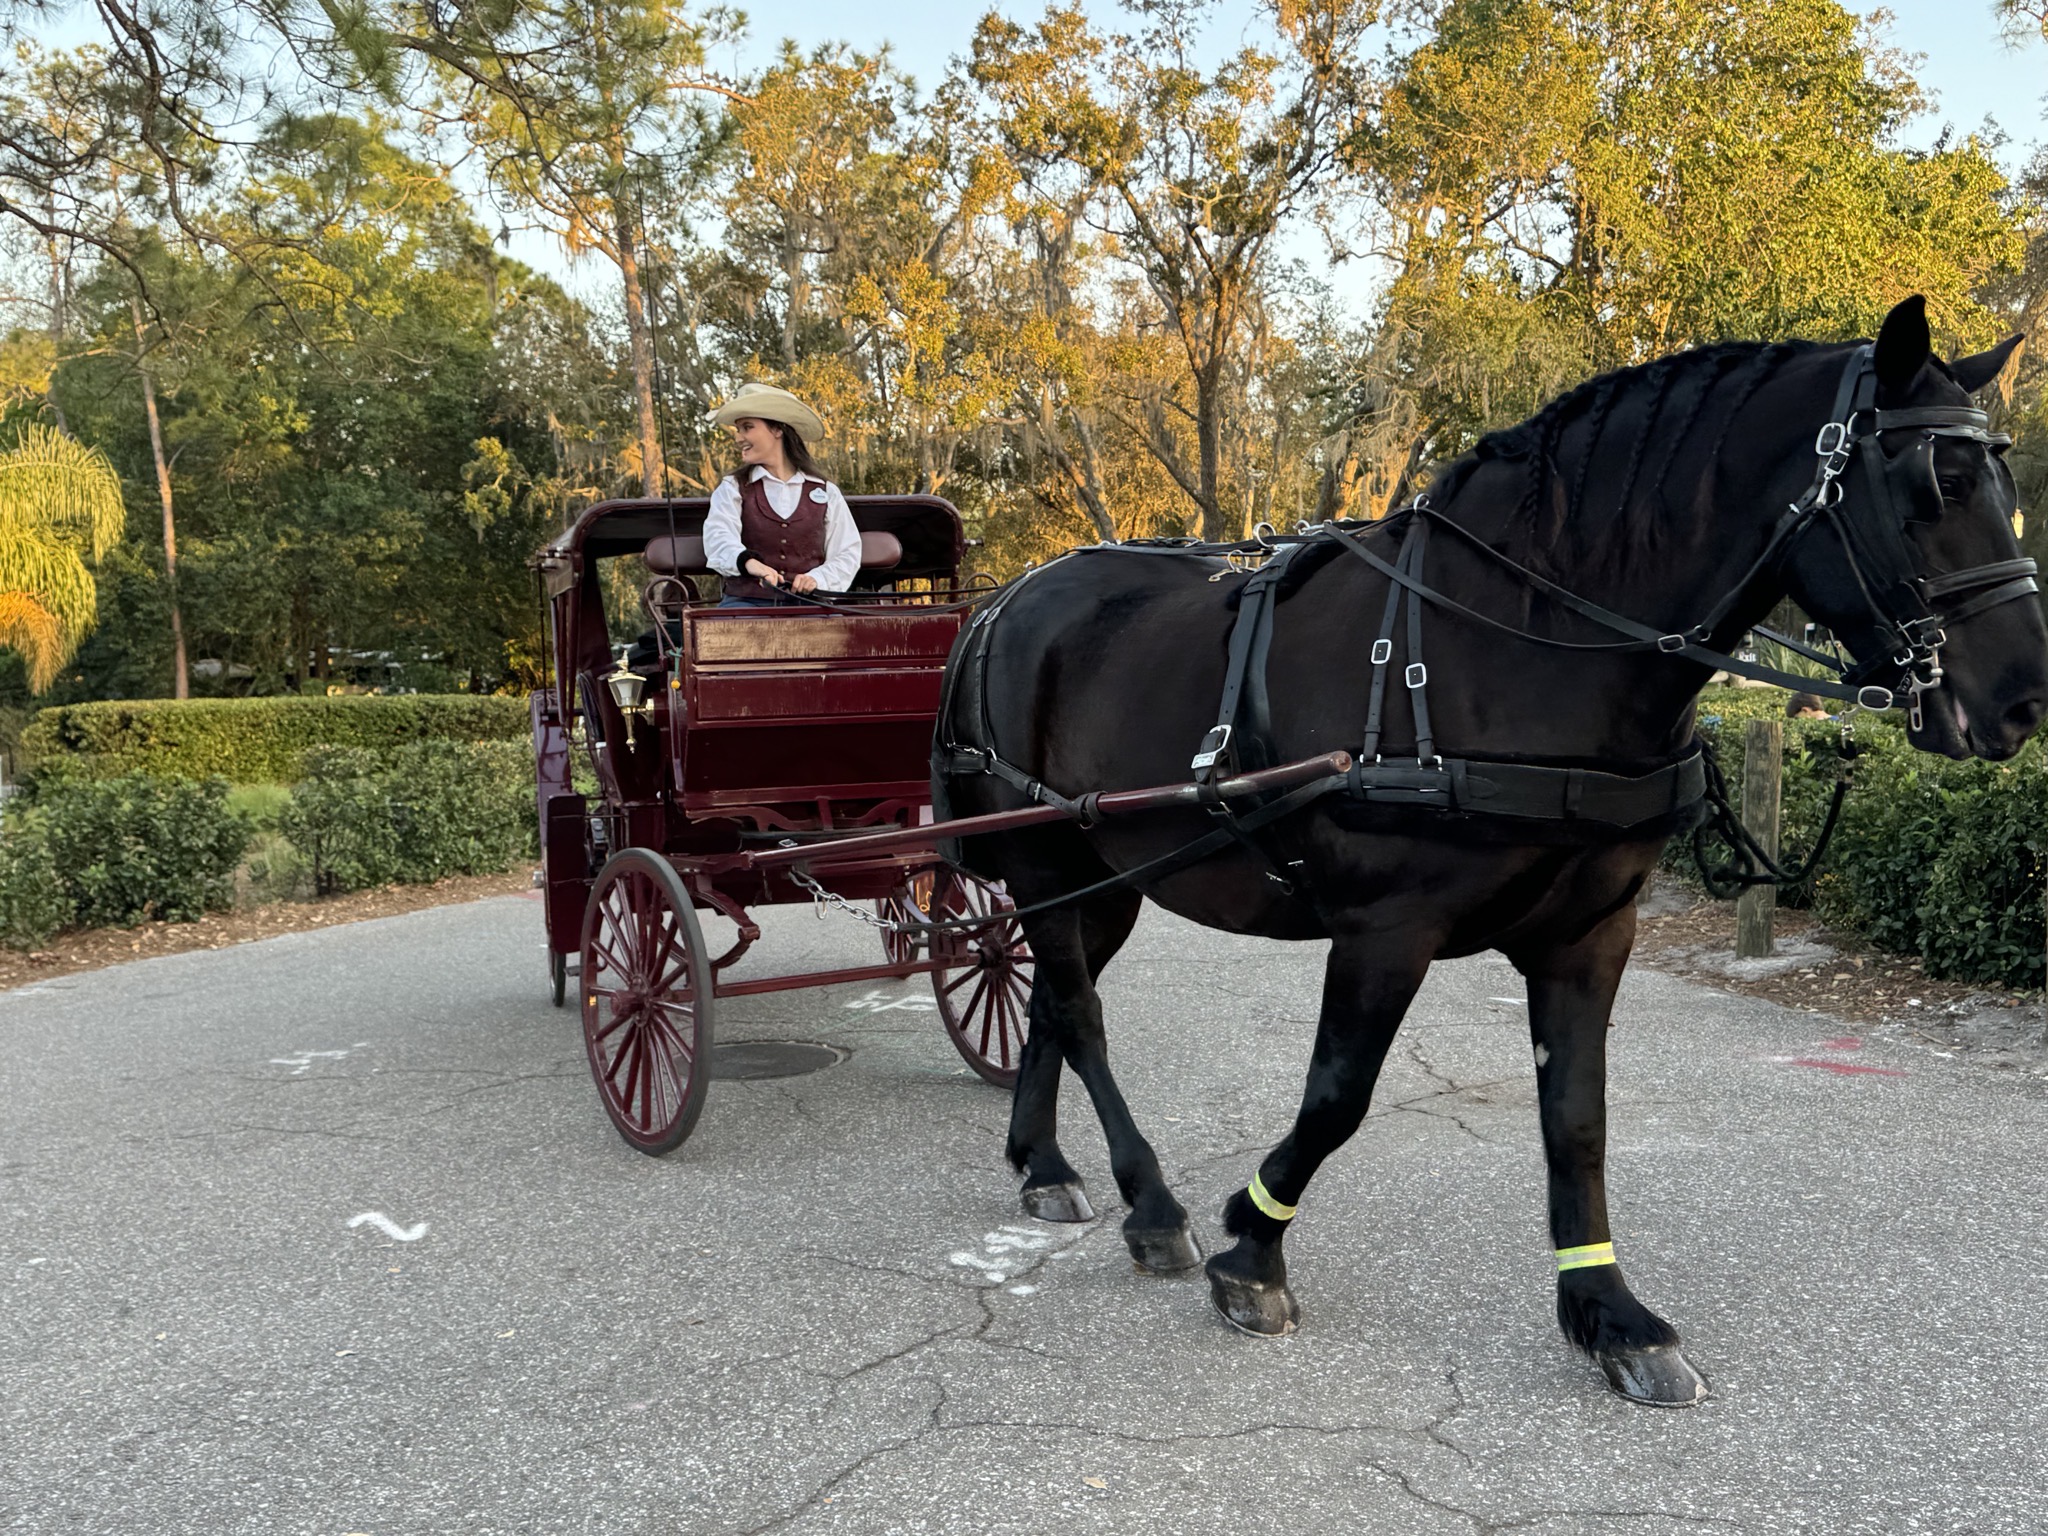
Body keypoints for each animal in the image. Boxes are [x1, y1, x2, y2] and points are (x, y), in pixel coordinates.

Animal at [931, 295, 2047, 1406]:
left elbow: (1577, 1120)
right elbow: (1337, 1098)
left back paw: (1043, 1164)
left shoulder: (1590, 933)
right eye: (1939, 482)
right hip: (1047, 862)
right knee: (1079, 1012)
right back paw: (1150, 1201)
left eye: (2002, 481)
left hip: (1108, 879)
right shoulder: (1385, 930)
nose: (2022, 702)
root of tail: (1005, 600)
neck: (1515, 639)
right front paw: (1251, 1248)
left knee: (1047, 1003)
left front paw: (1607, 1312)